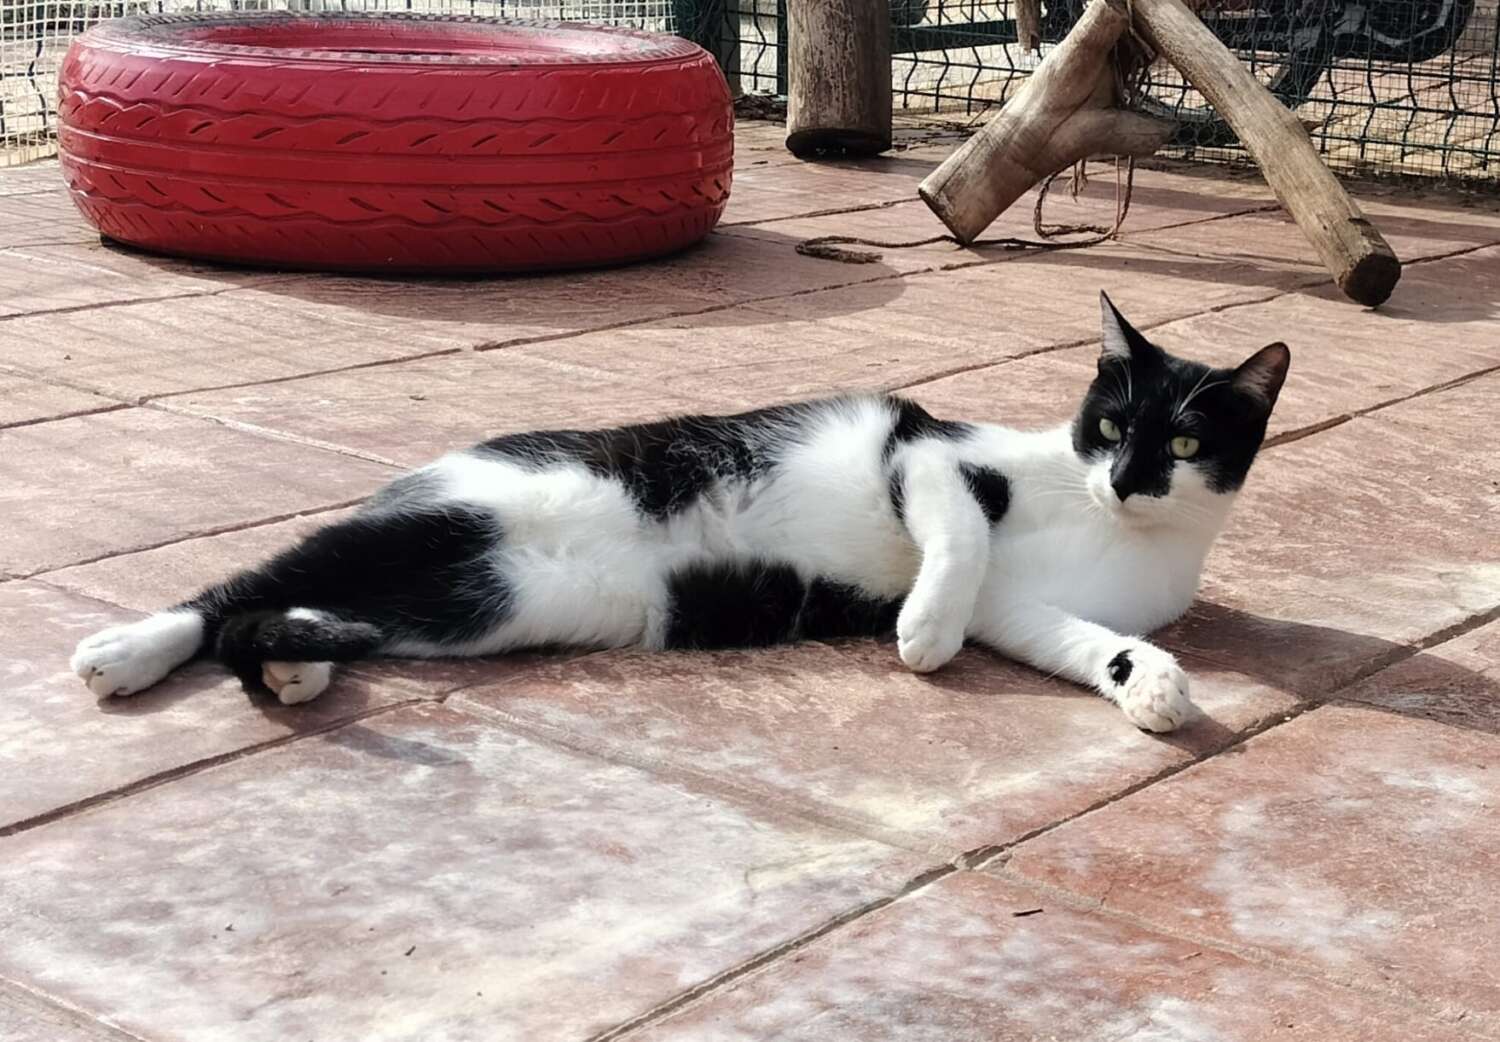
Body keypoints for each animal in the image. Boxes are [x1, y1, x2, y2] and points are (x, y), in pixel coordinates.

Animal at [70, 292, 1288, 733]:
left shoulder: (1028, 612)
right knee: (238, 586)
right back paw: (129, 651)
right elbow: (960, 535)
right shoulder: (929, 452)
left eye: (1184, 443)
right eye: (1109, 423)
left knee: (301, 607)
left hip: (476, 600)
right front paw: (922, 634)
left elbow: (1084, 640)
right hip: (449, 524)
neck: (1110, 530)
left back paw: (297, 659)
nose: (1126, 477)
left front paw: (1154, 686)